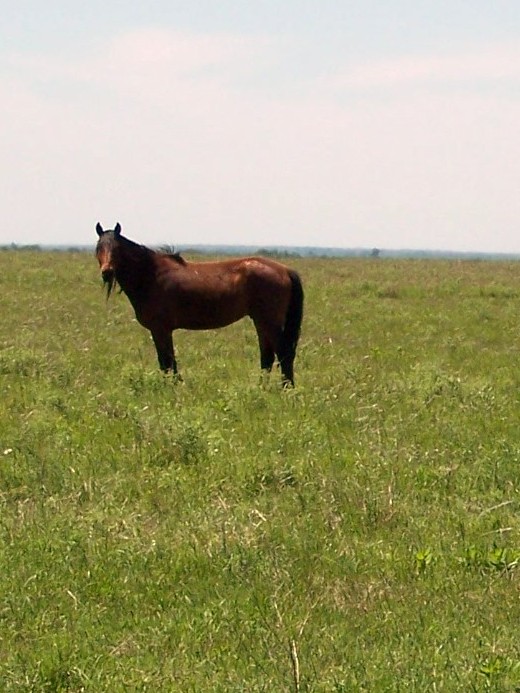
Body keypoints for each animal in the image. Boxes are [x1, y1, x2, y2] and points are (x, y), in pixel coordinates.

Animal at [95, 223, 304, 385]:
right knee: (267, 356)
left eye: (117, 249)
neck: (151, 276)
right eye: (99, 248)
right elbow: (168, 362)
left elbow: (166, 361)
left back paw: (286, 390)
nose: (107, 272)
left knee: (283, 353)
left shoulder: (160, 329)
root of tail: (285, 270)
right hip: (261, 322)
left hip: (269, 322)